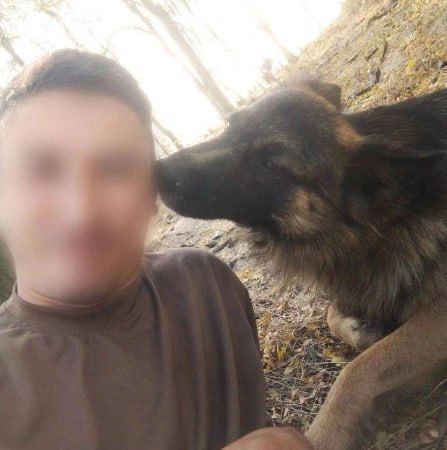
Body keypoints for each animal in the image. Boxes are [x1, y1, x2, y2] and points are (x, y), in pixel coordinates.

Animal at [156, 79, 447, 450]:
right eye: (231, 125)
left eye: (269, 163)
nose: (159, 172)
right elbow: (333, 313)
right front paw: (360, 329)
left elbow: (358, 371)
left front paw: (323, 433)